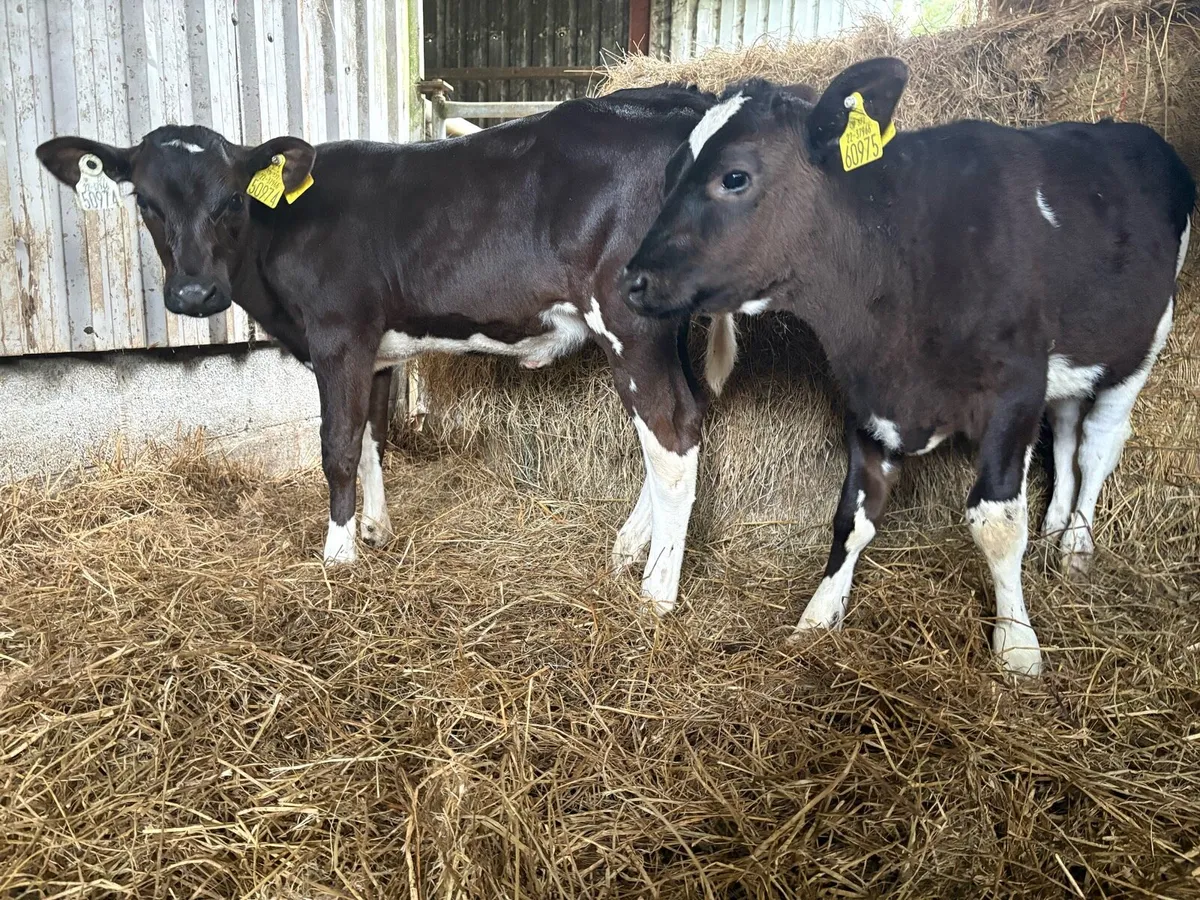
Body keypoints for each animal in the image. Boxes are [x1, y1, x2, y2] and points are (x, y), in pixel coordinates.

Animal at [37, 85, 754, 615]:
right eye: (146, 203)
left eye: (230, 199)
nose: (192, 293)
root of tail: (682, 99)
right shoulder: (375, 347)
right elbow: (373, 436)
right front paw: (375, 531)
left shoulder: (337, 334)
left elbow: (336, 443)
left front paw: (337, 554)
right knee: (682, 424)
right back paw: (631, 548)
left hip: (630, 321)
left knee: (671, 431)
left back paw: (657, 589)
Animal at [619, 58, 1195, 676]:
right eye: (671, 172)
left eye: (733, 177)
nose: (633, 281)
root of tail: (1127, 129)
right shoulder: (869, 396)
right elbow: (853, 516)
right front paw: (816, 619)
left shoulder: (1015, 391)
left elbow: (997, 521)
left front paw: (1017, 644)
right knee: (1065, 429)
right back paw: (1056, 523)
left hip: (1142, 343)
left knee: (1097, 443)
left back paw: (1077, 544)